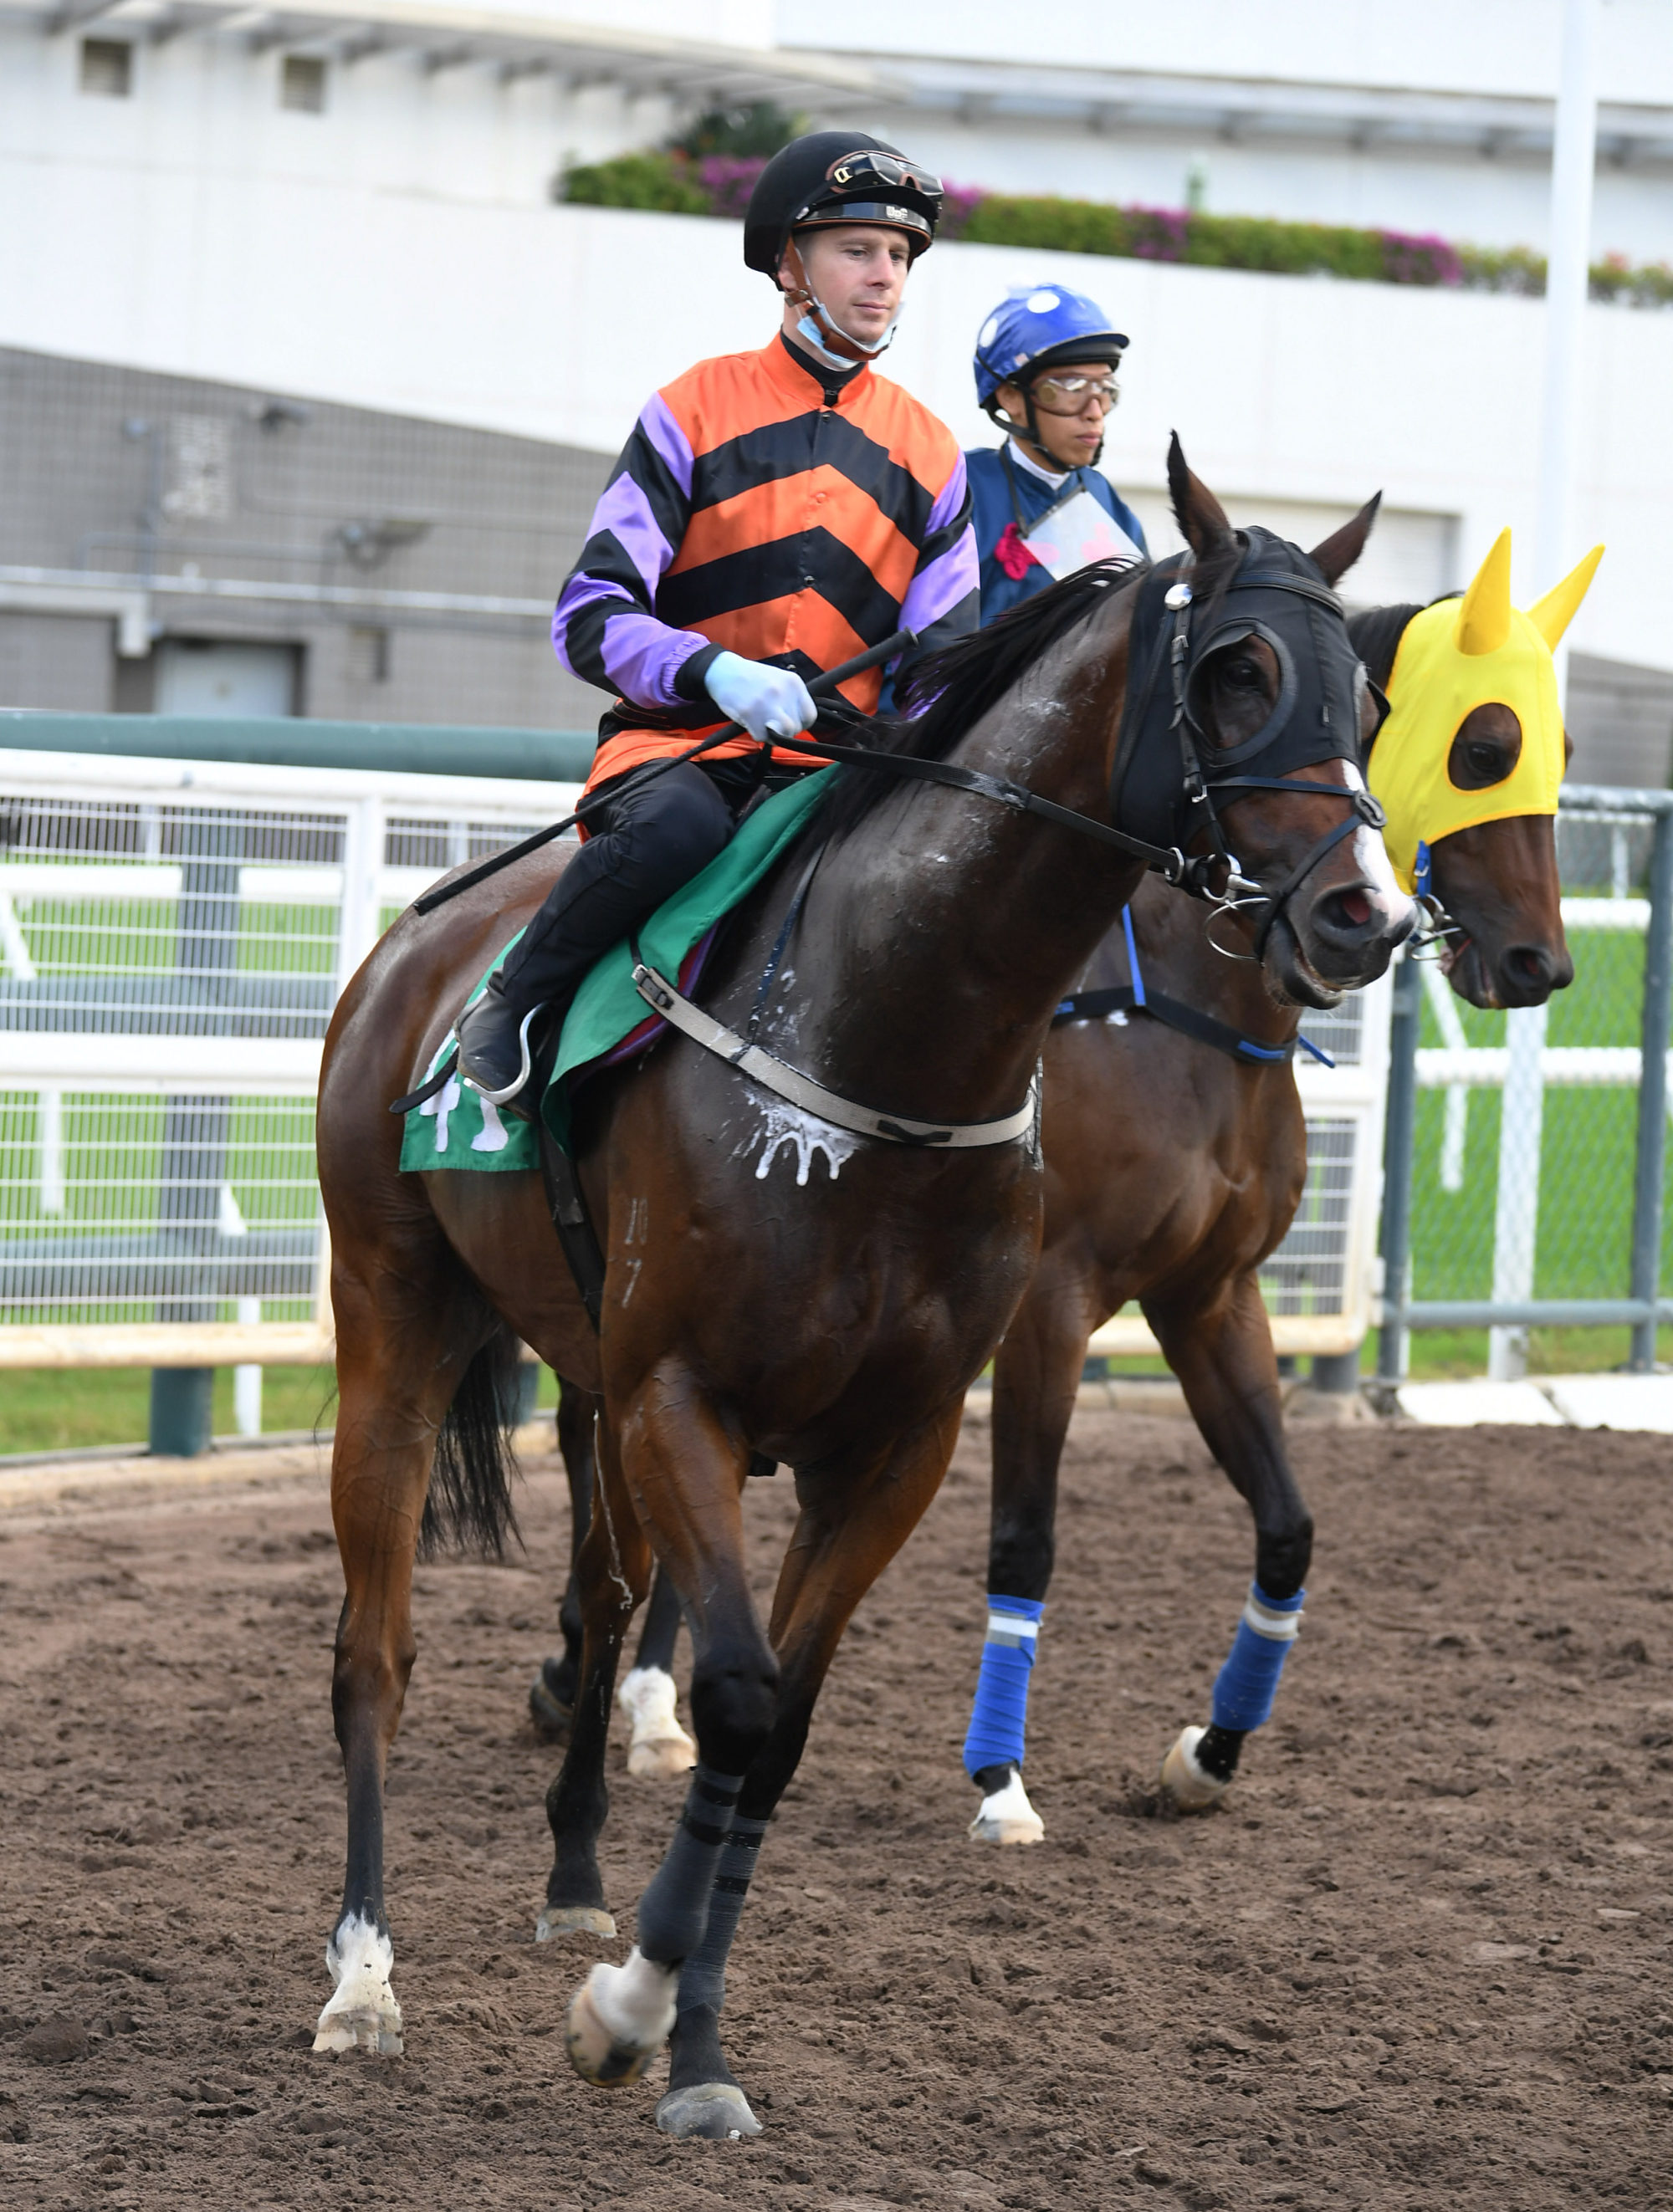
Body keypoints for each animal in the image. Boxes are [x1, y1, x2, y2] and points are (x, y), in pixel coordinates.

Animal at [314, 440, 1407, 2132]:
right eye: (1238, 669)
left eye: (1365, 695)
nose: (1368, 913)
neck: (885, 1029)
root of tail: (408, 955)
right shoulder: (685, 1399)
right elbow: (740, 1697)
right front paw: (626, 2013)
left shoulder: (896, 1441)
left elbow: (777, 1731)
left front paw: (684, 2041)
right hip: (397, 1323)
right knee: (375, 1655)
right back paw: (364, 1977)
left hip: (581, 1370)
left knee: (601, 1593)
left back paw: (570, 1878)